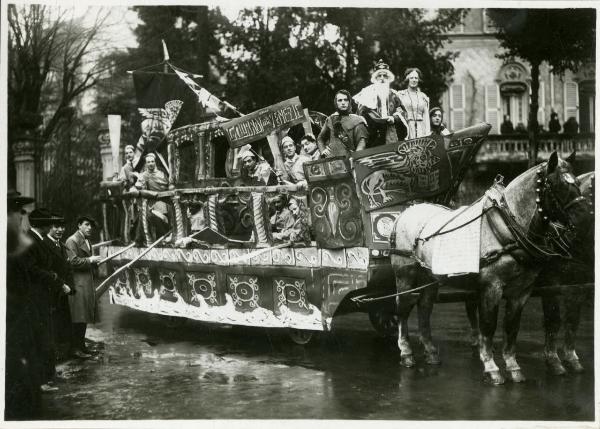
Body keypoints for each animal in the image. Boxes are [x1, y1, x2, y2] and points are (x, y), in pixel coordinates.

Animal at [392, 151, 588, 384]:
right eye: (555, 185)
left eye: (577, 182)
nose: (585, 219)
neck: (508, 227)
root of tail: (408, 209)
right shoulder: (492, 287)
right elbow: (488, 326)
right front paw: (491, 367)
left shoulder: (522, 291)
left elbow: (512, 327)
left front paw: (513, 367)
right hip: (405, 276)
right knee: (403, 311)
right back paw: (406, 353)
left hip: (429, 278)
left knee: (424, 309)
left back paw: (430, 352)